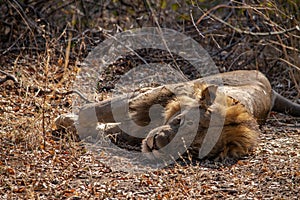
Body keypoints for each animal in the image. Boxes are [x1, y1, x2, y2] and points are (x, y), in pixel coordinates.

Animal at [56, 70, 300, 161]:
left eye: (191, 148)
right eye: (183, 121)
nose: (155, 144)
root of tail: (271, 90)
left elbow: (106, 129)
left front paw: (70, 123)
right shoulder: (151, 97)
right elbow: (96, 111)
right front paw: (66, 120)